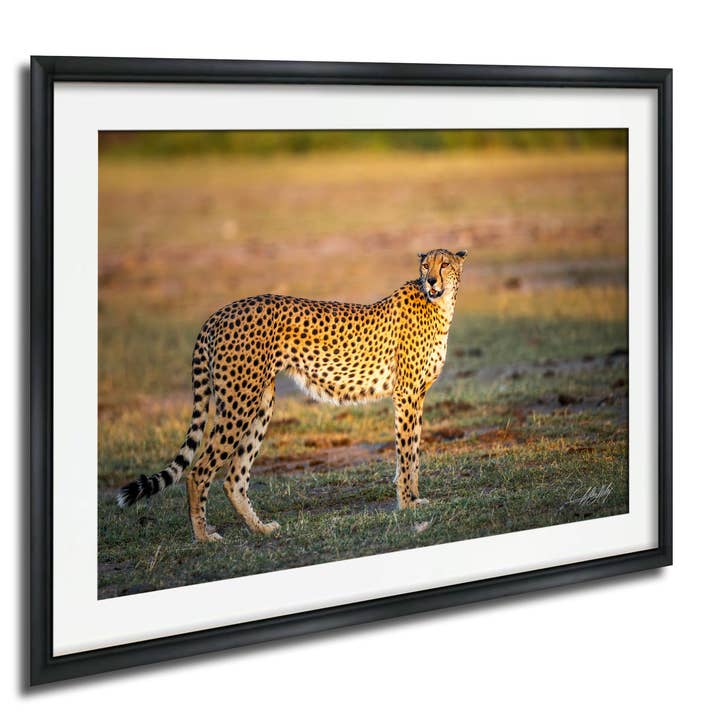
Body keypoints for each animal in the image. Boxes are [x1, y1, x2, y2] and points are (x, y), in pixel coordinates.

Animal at [117, 248, 467, 542]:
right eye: (426, 265)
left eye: (444, 264)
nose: (431, 280)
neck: (439, 306)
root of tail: (221, 311)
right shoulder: (406, 394)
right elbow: (407, 454)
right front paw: (407, 504)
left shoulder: (416, 396)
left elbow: (413, 452)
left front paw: (413, 498)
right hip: (239, 402)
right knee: (199, 471)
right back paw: (204, 537)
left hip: (260, 403)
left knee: (234, 477)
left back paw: (260, 528)